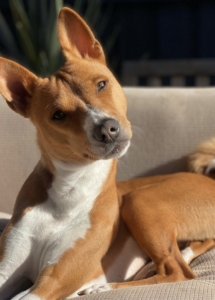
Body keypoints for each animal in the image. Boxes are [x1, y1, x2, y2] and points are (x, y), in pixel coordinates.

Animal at [0, 7, 215, 300]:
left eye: (101, 84)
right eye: (58, 115)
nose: (107, 129)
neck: (69, 191)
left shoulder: (51, 281)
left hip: (139, 200)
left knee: (178, 271)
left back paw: (104, 286)